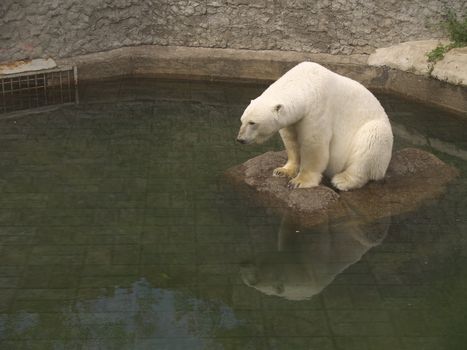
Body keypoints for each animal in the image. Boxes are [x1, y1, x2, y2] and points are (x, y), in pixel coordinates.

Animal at [236, 61, 394, 190]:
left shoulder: (318, 108)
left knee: (371, 141)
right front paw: (282, 170)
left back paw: (342, 180)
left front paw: (299, 181)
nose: (240, 139)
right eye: (242, 120)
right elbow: (291, 141)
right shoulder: (294, 120)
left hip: (378, 135)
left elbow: (314, 144)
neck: (304, 81)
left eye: (252, 123)